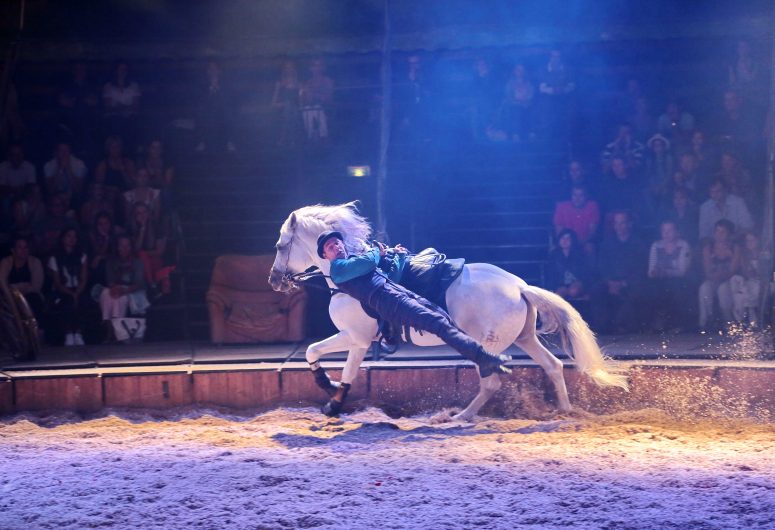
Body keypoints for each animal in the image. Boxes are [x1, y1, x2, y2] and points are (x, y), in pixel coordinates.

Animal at [270, 200, 628, 418]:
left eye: (280, 245)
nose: (274, 280)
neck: (347, 271)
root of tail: (520, 287)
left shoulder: (355, 338)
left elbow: (330, 361)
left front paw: (330, 394)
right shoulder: (356, 340)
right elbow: (328, 361)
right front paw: (330, 393)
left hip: (492, 343)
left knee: (492, 381)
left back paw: (461, 416)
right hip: (525, 337)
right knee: (553, 366)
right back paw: (565, 412)